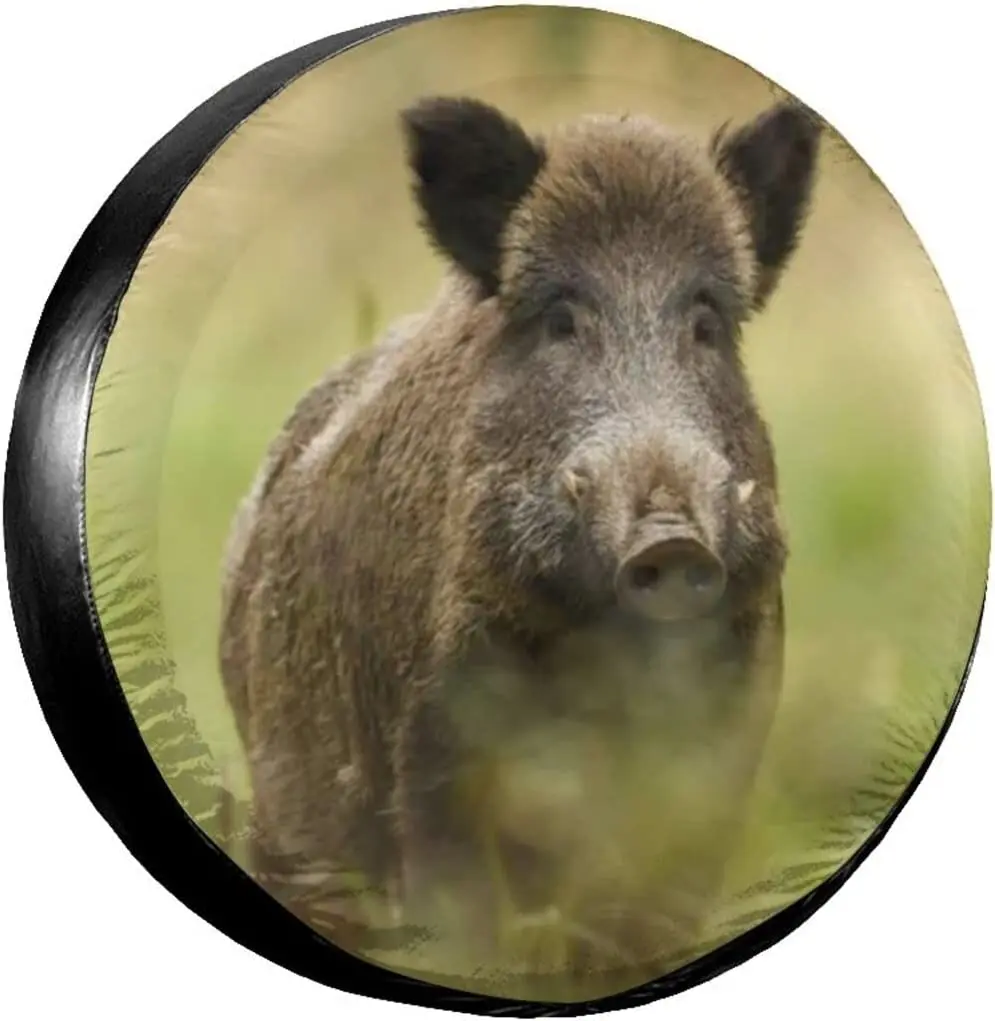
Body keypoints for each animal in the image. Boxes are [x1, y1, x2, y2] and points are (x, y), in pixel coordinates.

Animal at [219, 94, 821, 986]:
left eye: (706, 324)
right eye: (561, 320)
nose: (670, 542)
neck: (604, 659)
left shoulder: (718, 753)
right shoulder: (436, 747)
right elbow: (459, 914)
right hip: (292, 809)